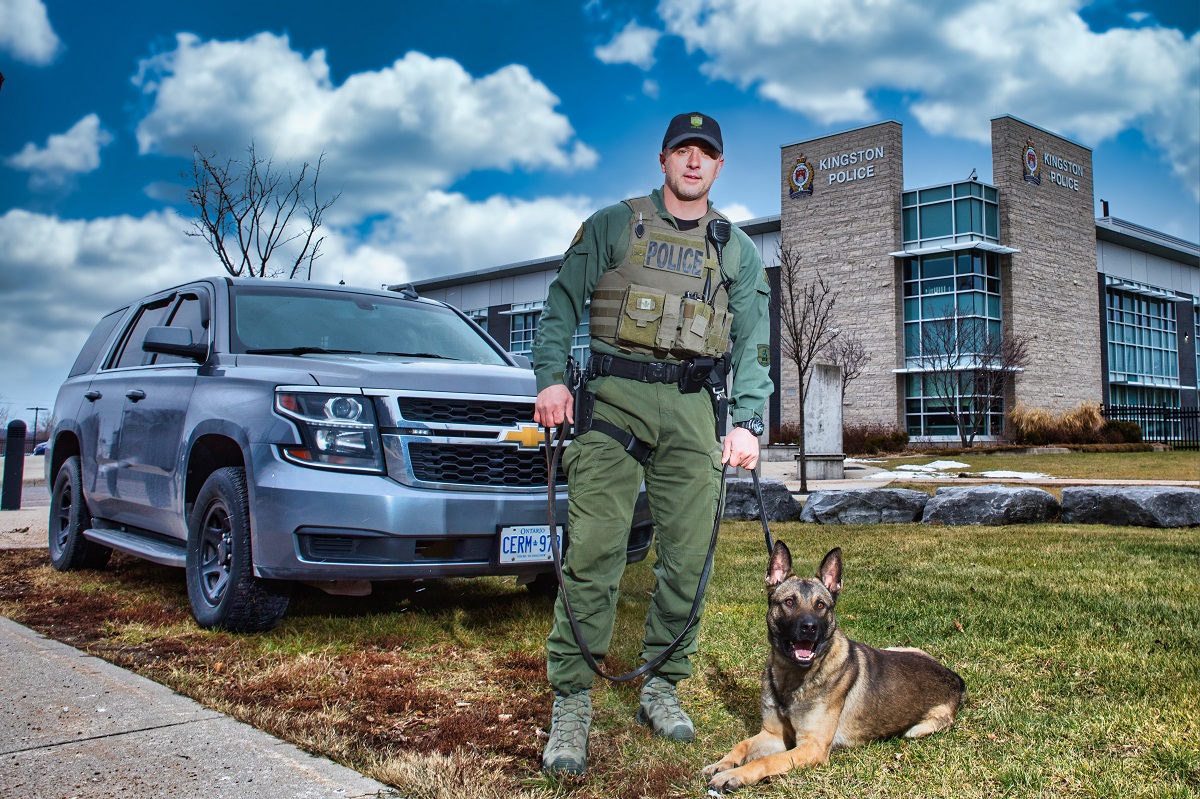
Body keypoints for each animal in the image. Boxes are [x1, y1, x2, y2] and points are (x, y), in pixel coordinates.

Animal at [700, 542, 964, 791]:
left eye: (820, 605)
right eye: (789, 602)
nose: (809, 627)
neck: (794, 677)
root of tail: (954, 678)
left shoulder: (811, 747)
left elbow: (766, 761)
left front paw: (733, 775)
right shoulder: (772, 734)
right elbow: (742, 744)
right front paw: (722, 763)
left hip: (918, 728)